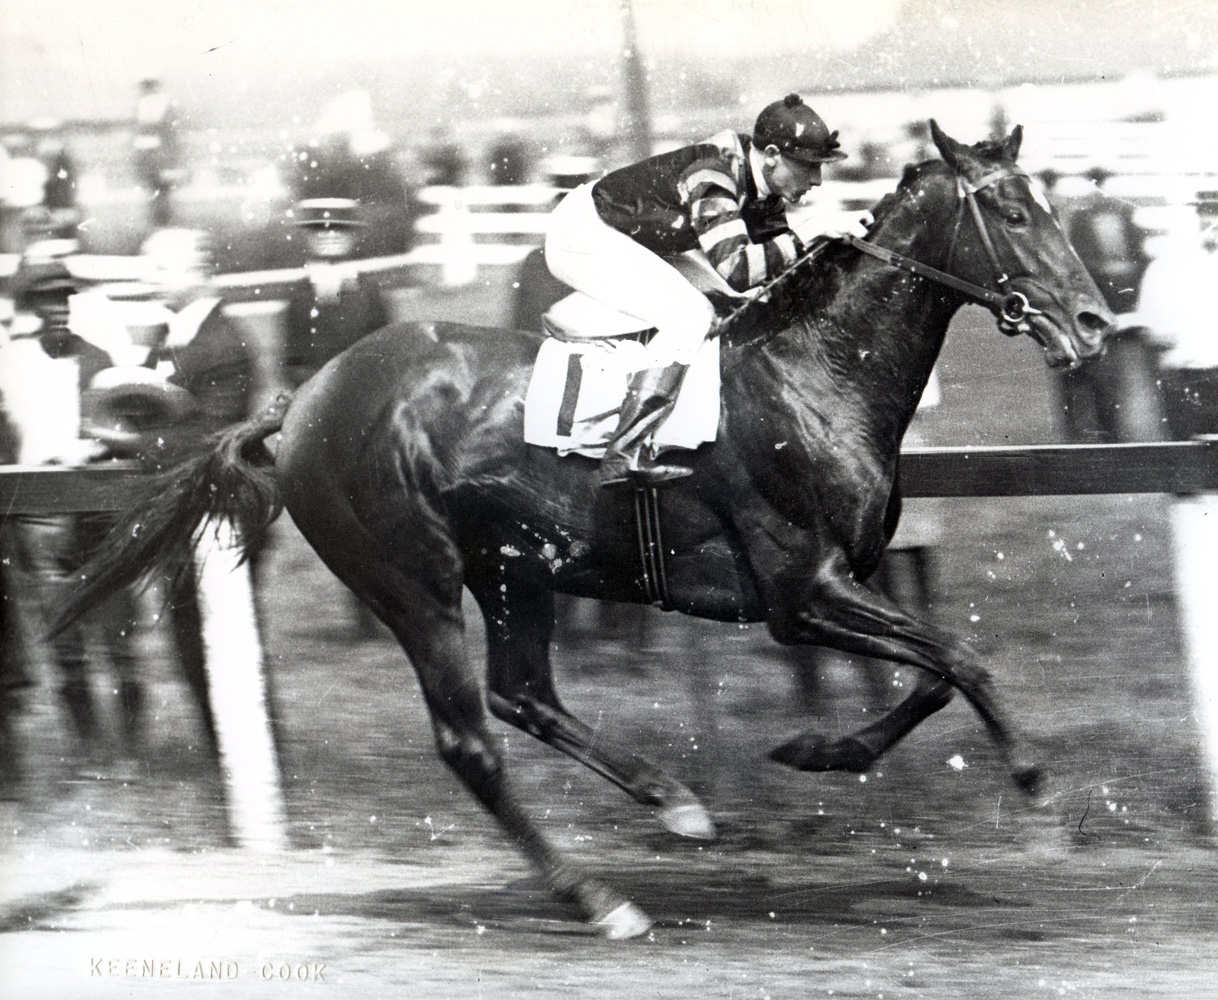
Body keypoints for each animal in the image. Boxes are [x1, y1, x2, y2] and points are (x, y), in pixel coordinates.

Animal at [59, 124, 1115, 935]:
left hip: (511, 569)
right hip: (411, 580)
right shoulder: (800, 591)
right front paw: (1040, 794)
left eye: (1048, 203)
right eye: (1010, 211)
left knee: (524, 693)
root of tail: (302, 398)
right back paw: (598, 898)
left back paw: (672, 803)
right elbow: (960, 659)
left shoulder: (843, 580)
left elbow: (935, 675)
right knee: (472, 740)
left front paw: (820, 751)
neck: (812, 375)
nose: (1095, 323)